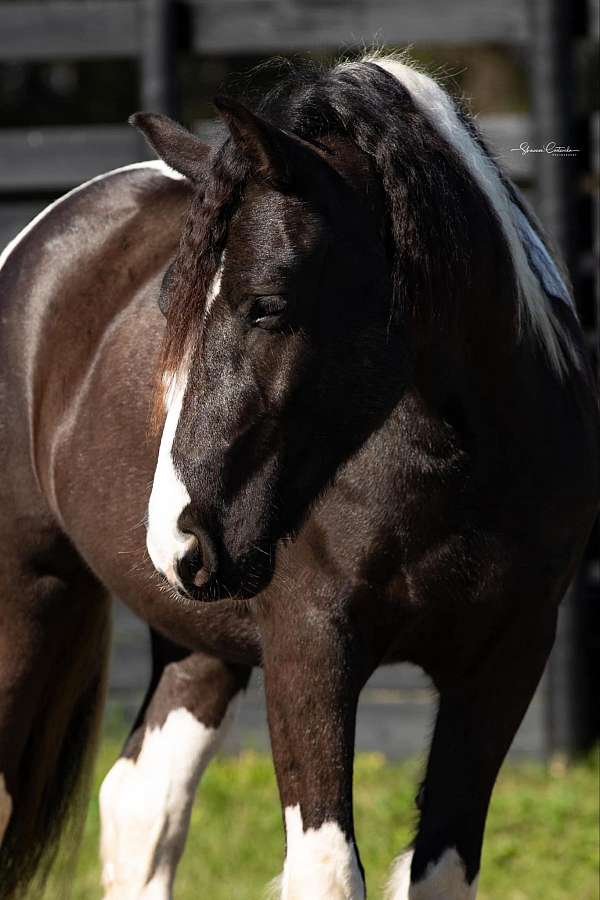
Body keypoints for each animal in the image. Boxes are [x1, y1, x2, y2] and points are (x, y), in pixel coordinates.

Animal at [0, 56, 596, 900]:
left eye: (268, 305)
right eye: (170, 306)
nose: (178, 537)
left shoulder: (505, 660)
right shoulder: (309, 650)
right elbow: (327, 870)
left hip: (199, 646)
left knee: (141, 806)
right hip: (27, 596)